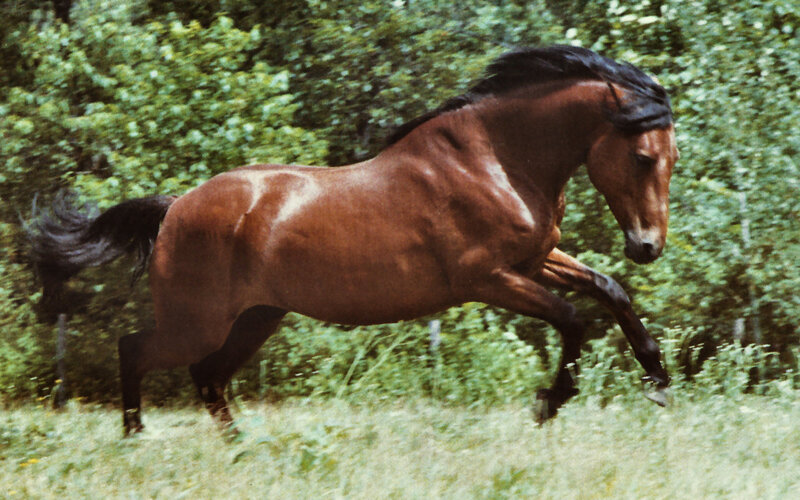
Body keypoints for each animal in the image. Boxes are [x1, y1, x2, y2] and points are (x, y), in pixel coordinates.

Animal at [28, 46, 679, 435]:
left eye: (672, 157)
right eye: (643, 157)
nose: (647, 246)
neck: (497, 160)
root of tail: (174, 209)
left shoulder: (536, 259)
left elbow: (610, 291)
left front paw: (659, 381)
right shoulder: (487, 279)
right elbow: (574, 318)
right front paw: (549, 402)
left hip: (256, 318)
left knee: (208, 377)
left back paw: (240, 446)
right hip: (200, 321)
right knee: (136, 351)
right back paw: (136, 436)